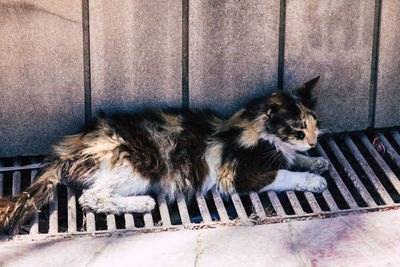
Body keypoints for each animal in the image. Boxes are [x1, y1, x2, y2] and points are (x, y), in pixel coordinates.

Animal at [0, 76, 328, 233]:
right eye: (298, 129)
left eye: (315, 123)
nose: (314, 141)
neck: (255, 127)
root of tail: (66, 148)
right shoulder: (238, 176)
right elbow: (284, 173)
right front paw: (313, 180)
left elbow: (293, 160)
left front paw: (317, 161)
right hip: (139, 165)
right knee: (90, 197)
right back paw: (143, 204)